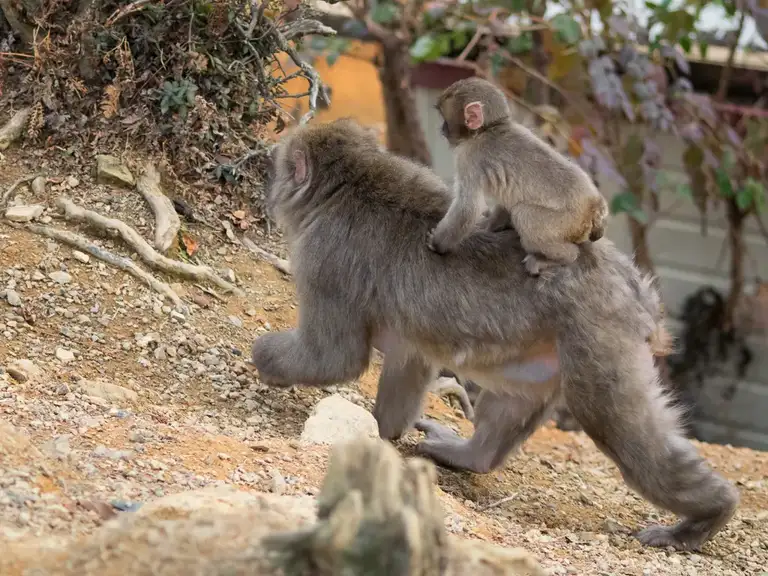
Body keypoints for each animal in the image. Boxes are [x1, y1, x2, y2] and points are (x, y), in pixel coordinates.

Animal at [251, 117, 739, 552]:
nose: (268, 179)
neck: (350, 183)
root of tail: (628, 281)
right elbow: (410, 360)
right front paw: (384, 431)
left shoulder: (324, 258)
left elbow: (334, 357)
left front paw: (263, 360)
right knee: (517, 399)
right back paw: (472, 455)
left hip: (600, 338)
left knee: (620, 428)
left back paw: (707, 516)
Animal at [427, 77, 610, 277]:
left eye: (446, 118)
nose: (442, 129)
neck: (488, 129)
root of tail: (594, 204)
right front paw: (490, 225)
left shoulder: (469, 157)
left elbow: (467, 208)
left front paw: (437, 245)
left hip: (568, 221)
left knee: (524, 215)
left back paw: (561, 257)